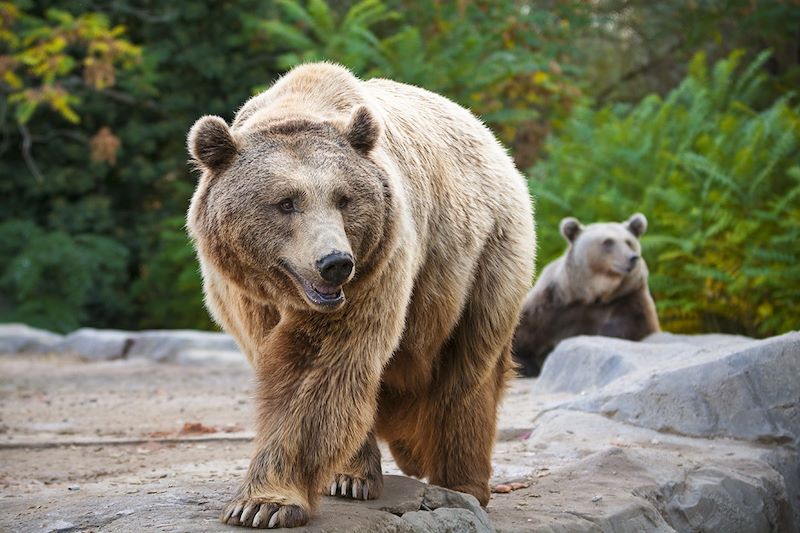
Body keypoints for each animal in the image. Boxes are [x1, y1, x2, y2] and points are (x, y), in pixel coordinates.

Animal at [187, 63, 536, 528]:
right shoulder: (249, 297)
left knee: (467, 371)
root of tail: (493, 144)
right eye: (286, 202)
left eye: (344, 198)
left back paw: (461, 482)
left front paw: (265, 503)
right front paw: (344, 477)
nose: (334, 263)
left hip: (482, 260)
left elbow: (321, 370)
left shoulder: (376, 268)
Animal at [512, 214, 664, 376]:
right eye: (608, 242)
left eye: (629, 242)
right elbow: (522, 329)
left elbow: (633, 323)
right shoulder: (552, 305)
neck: (593, 293)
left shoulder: (628, 297)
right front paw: (526, 362)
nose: (632, 258)